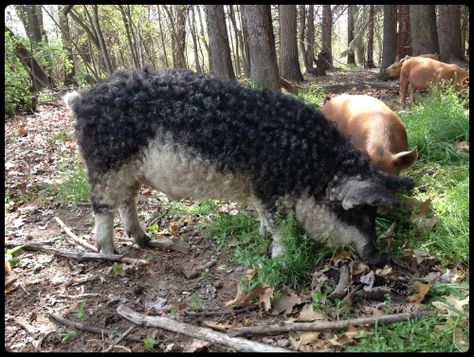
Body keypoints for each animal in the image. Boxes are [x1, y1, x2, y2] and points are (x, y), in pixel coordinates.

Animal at [65, 68, 412, 266]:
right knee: (103, 207)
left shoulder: (259, 190)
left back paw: (144, 240)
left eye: (373, 215)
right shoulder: (270, 186)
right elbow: (280, 227)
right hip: (105, 163)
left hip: (131, 170)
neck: (311, 166)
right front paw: (281, 260)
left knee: (128, 200)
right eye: (356, 213)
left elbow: (263, 218)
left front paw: (261, 237)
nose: (378, 258)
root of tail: (81, 100)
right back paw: (110, 254)